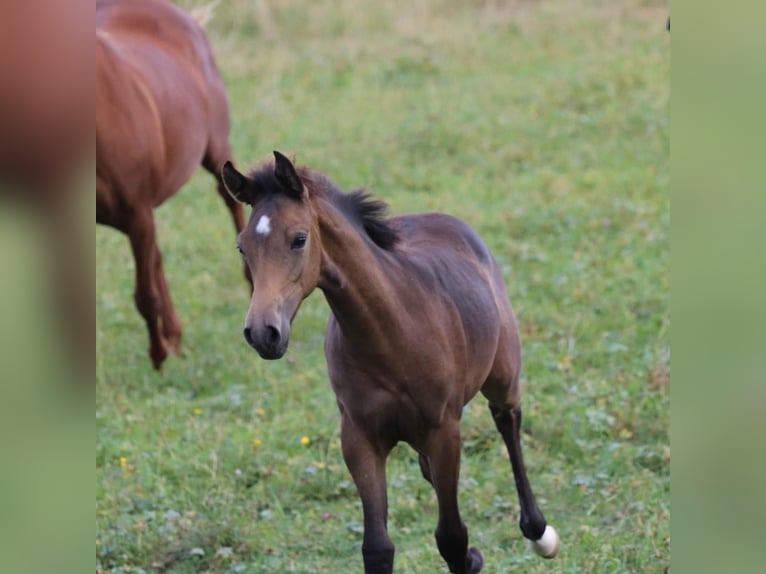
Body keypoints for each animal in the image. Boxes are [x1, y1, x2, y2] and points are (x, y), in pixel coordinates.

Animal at [96, 0, 246, 368]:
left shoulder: (137, 211)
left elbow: (144, 296)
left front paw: (158, 357)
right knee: (158, 257)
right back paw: (175, 335)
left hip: (216, 149)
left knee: (232, 201)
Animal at [220, 153, 560, 574]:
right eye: (242, 248)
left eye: (299, 239)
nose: (262, 333)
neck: (390, 335)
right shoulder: (359, 438)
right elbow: (378, 547)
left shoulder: (445, 431)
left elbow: (451, 537)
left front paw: (472, 558)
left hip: (502, 375)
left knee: (508, 423)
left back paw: (539, 532)